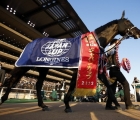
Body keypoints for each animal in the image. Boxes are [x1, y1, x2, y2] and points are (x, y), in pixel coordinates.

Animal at [1, 10, 140, 112]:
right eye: (127, 22)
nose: (138, 32)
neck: (92, 44)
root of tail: (30, 43)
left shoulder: (89, 70)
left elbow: (103, 86)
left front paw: (67, 105)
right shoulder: (80, 69)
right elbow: (106, 87)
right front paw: (117, 105)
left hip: (43, 68)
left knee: (38, 84)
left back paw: (43, 105)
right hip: (24, 65)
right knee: (12, 80)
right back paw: (3, 99)